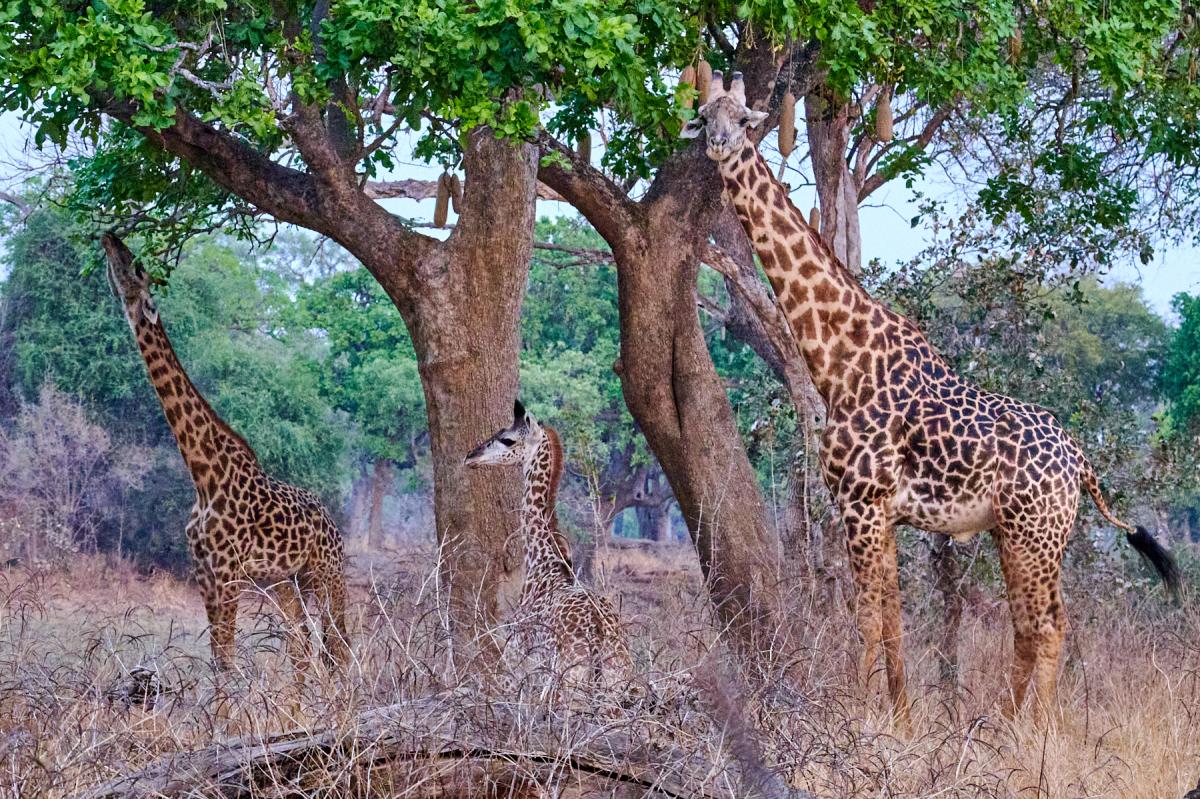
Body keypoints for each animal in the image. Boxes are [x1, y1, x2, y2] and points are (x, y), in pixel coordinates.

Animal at [101, 232, 350, 682]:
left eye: (136, 266)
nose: (109, 237)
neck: (202, 472)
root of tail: (334, 524)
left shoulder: (227, 569)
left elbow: (227, 661)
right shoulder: (204, 569)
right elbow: (219, 660)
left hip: (327, 573)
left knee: (337, 645)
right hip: (285, 583)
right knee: (302, 644)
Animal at [464, 401, 633, 691]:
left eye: (507, 439)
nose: (470, 457)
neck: (543, 560)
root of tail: (598, 639)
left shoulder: (521, 662)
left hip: (560, 681)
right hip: (618, 682)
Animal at [682, 72, 1180, 723]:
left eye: (743, 120)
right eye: (703, 113)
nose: (717, 144)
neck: (838, 356)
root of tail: (1082, 464)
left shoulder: (861, 502)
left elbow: (868, 619)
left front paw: (862, 718)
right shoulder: (883, 512)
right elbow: (893, 621)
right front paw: (903, 718)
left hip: (1035, 534)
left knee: (1046, 625)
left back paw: (1034, 731)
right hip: (1016, 534)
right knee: (1036, 625)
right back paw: (1005, 725)